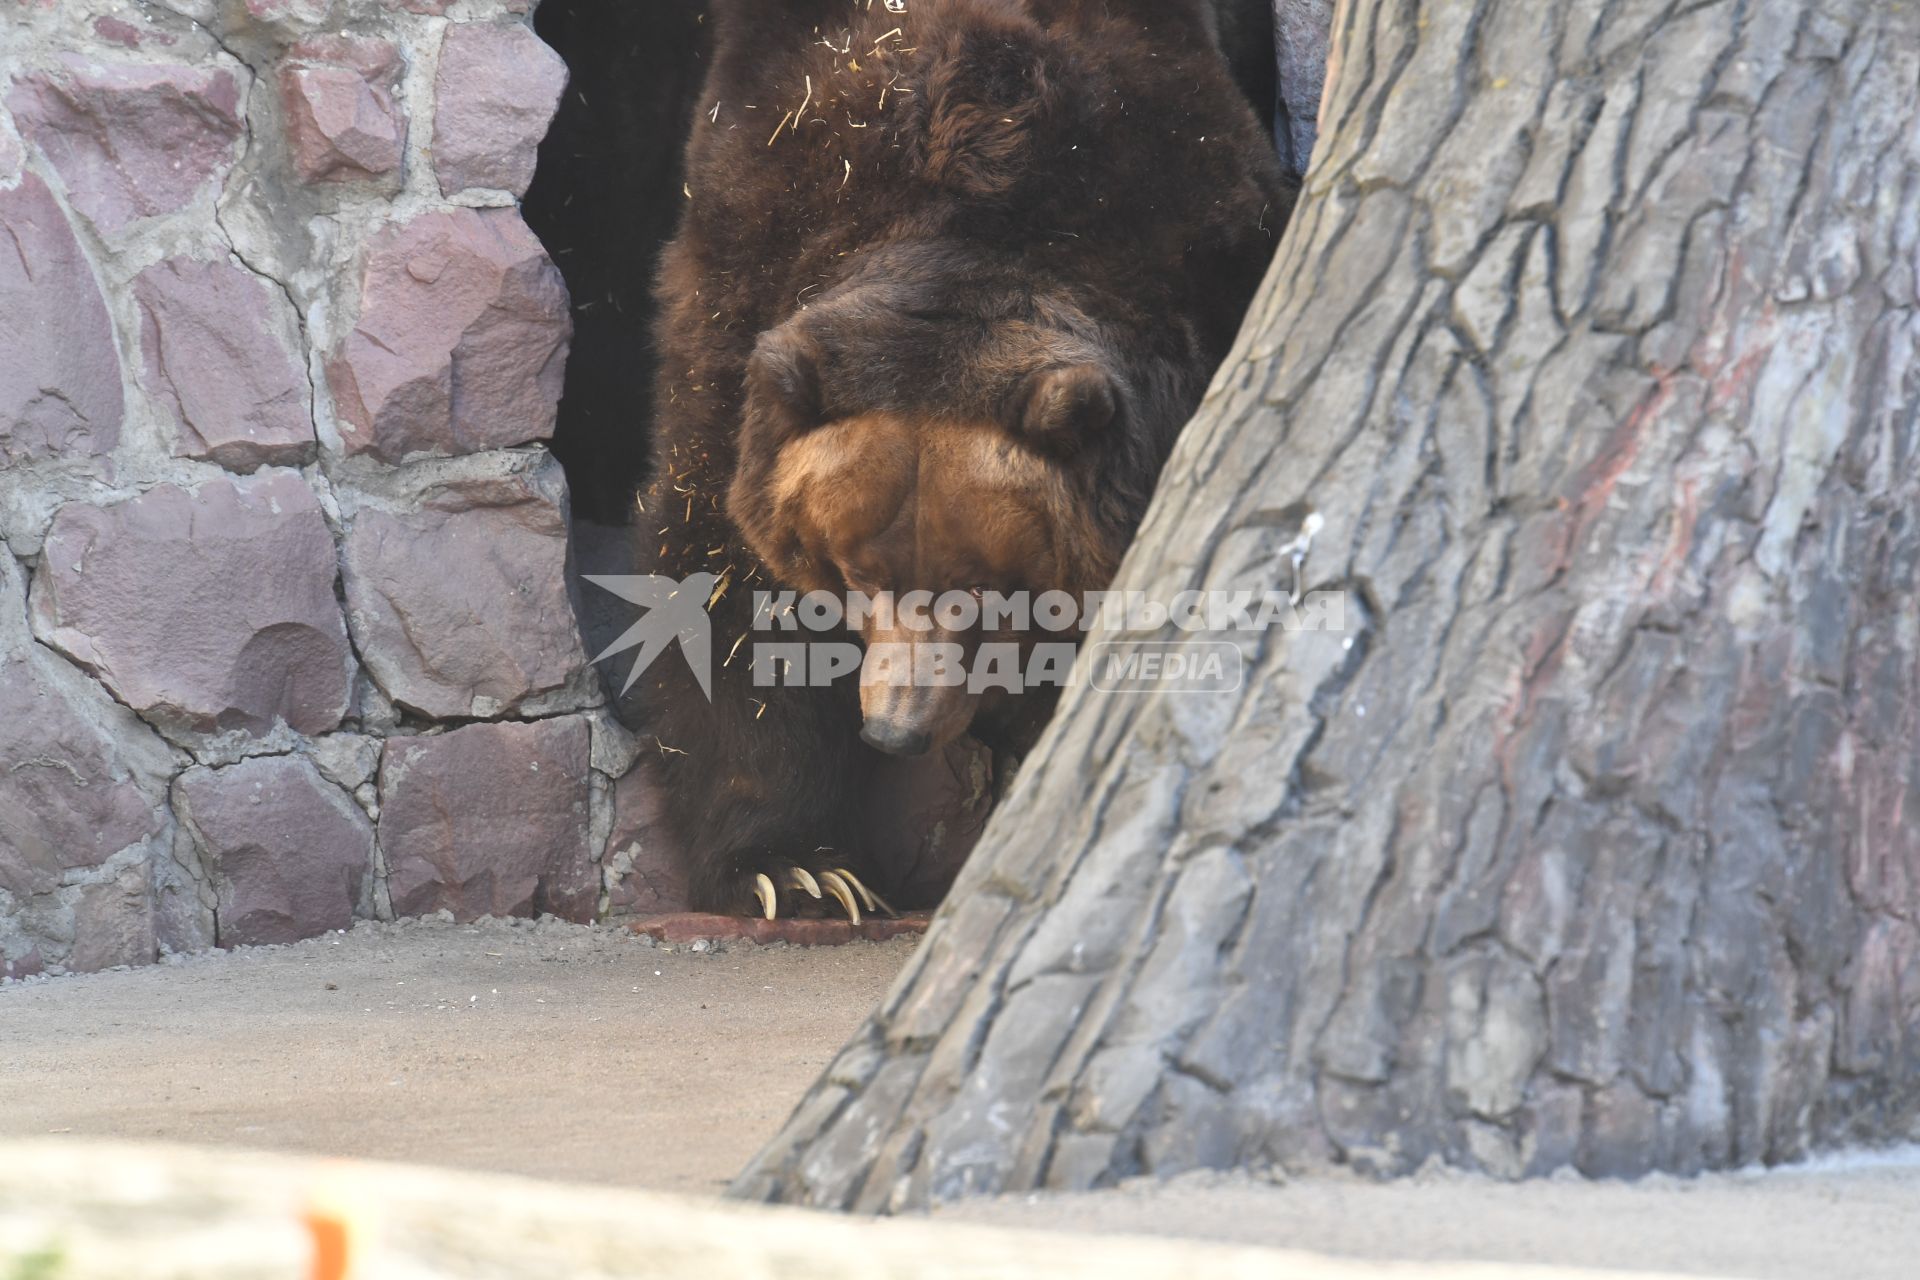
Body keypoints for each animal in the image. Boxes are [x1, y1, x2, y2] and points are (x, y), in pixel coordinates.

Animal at [622, 0, 1297, 921]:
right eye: (855, 573)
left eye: (985, 589)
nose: (896, 728)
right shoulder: (744, 266)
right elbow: (720, 579)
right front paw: (795, 869)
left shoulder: (1199, 245)